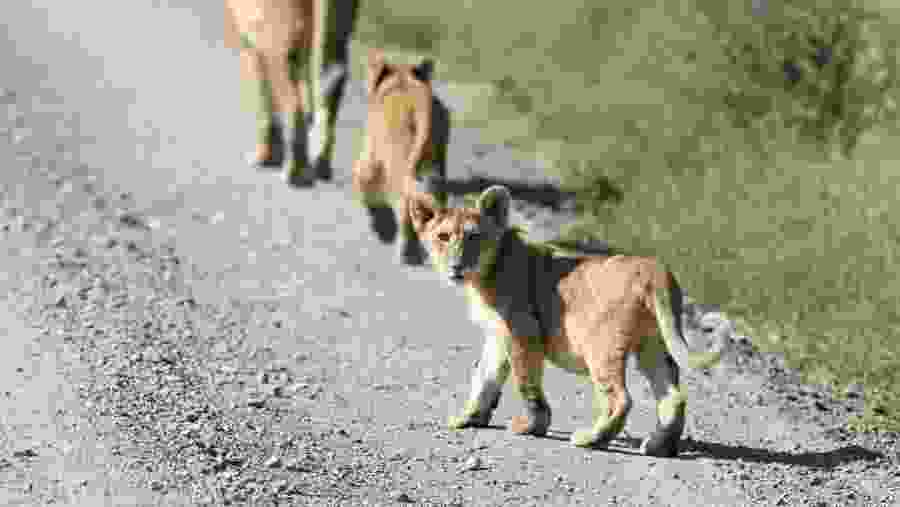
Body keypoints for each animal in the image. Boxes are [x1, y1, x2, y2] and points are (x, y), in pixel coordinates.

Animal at [352, 48, 449, 266]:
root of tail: (420, 105)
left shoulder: (370, 157)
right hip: (433, 165)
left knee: (405, 206)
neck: (401, 80)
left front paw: (382, 229)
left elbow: (366, 187)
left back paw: (406, 252)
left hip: (397, 161)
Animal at [408, 186, 729, 457]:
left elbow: (525, 382)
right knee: (674, 396)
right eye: (443, 237)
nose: (456, 267)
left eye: (474, 237)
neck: (484, 273)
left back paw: (591, 439)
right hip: (653, 344)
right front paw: (469, 418)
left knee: (620, 398)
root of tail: (655, 268)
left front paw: (532, 426)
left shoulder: (522, 331)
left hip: (600, 345)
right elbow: (484, 377)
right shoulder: (498, 335)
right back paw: (659, 446)